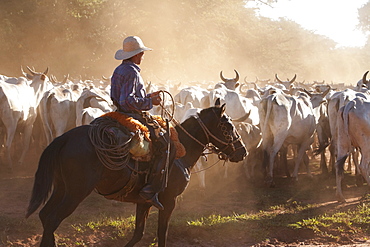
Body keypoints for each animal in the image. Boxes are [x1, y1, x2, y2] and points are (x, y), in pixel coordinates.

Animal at [25, 99, 246, 247]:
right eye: (227, 125)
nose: (243, 151)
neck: (181, 152)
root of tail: (64, 138)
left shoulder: (144, 201)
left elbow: (138, 233)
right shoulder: (168, 201)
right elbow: (162, 233)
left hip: (62, 187)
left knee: (45, 216)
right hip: (75, 192)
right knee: (52, 219)